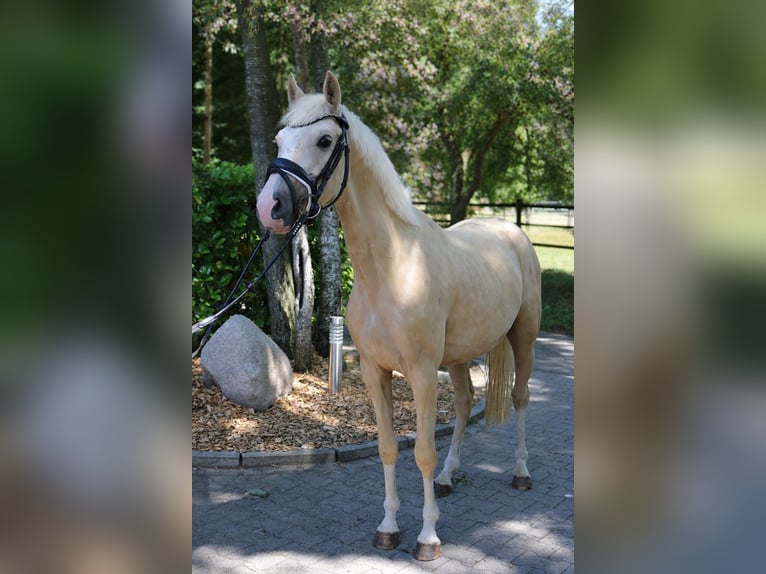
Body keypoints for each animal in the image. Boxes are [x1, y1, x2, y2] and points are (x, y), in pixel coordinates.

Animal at [257, 71, 541, 561]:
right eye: (279, 140)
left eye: (325, 139)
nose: (269, 208)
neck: (391, 268)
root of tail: (511, 231)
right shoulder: (375, 371)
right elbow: (389, 448)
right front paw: (389, 526)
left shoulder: (423, 374)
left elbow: (422, 451)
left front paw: (428, 537)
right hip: (459, 357)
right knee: (464, 402)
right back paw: (447, 478)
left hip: (523, 337)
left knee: (520, 397)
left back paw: (520, 473)